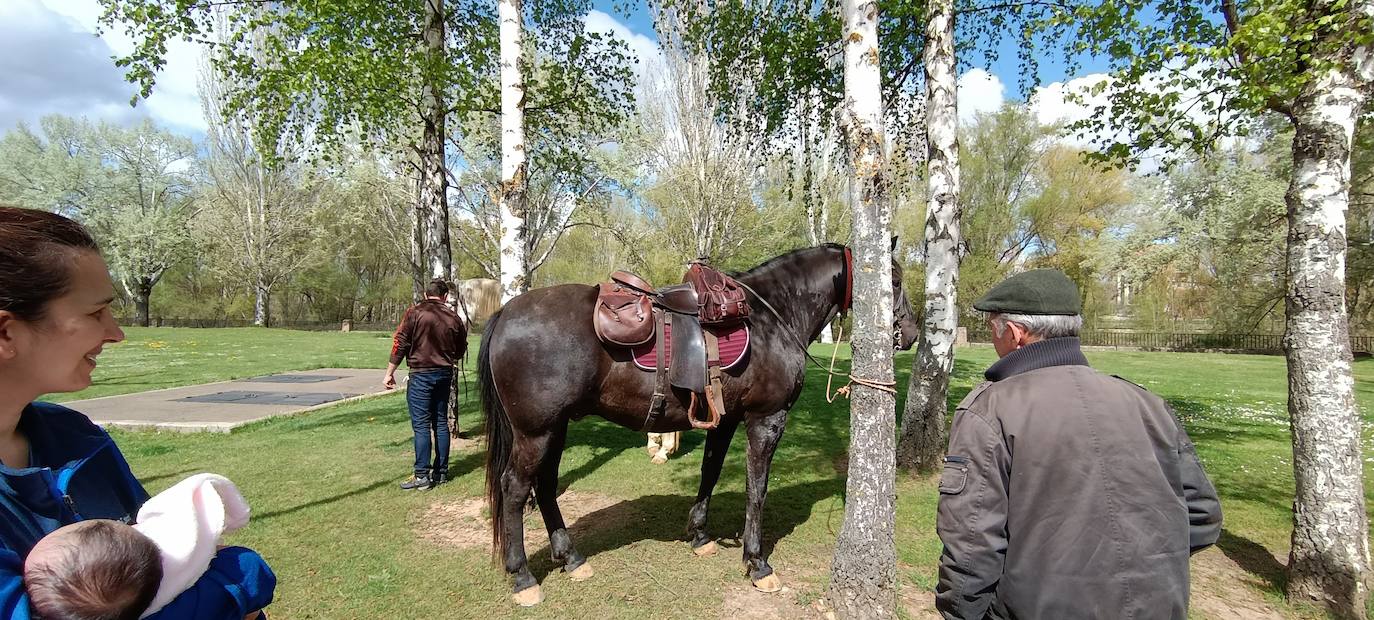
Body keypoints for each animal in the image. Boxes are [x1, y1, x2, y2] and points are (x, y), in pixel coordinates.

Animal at [478, 243, 917, 607]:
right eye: (893, 280)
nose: (910, 333)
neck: (773, 315)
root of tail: (506, 313)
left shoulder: (725, 421)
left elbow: (711, 472)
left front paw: (700, 535)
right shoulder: (767, 420)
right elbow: (756, 489)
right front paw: (757, 562)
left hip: (556, 427)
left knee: (546, 486)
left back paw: (571, 558)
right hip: (536, 432)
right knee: (515, 489)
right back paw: (523, 577)